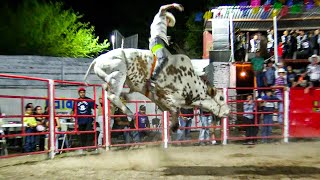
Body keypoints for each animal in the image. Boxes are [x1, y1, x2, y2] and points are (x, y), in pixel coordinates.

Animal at [84, 48, 229, 131]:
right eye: (221, 97)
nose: (228, 111)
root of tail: (97, 60)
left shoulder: (160, 101)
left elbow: (173, 111)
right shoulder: (165, 96)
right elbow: (176, 110)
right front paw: (174, 127)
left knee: (109, 90)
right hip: (120, 72)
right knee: (113, 95)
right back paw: (130, 114)